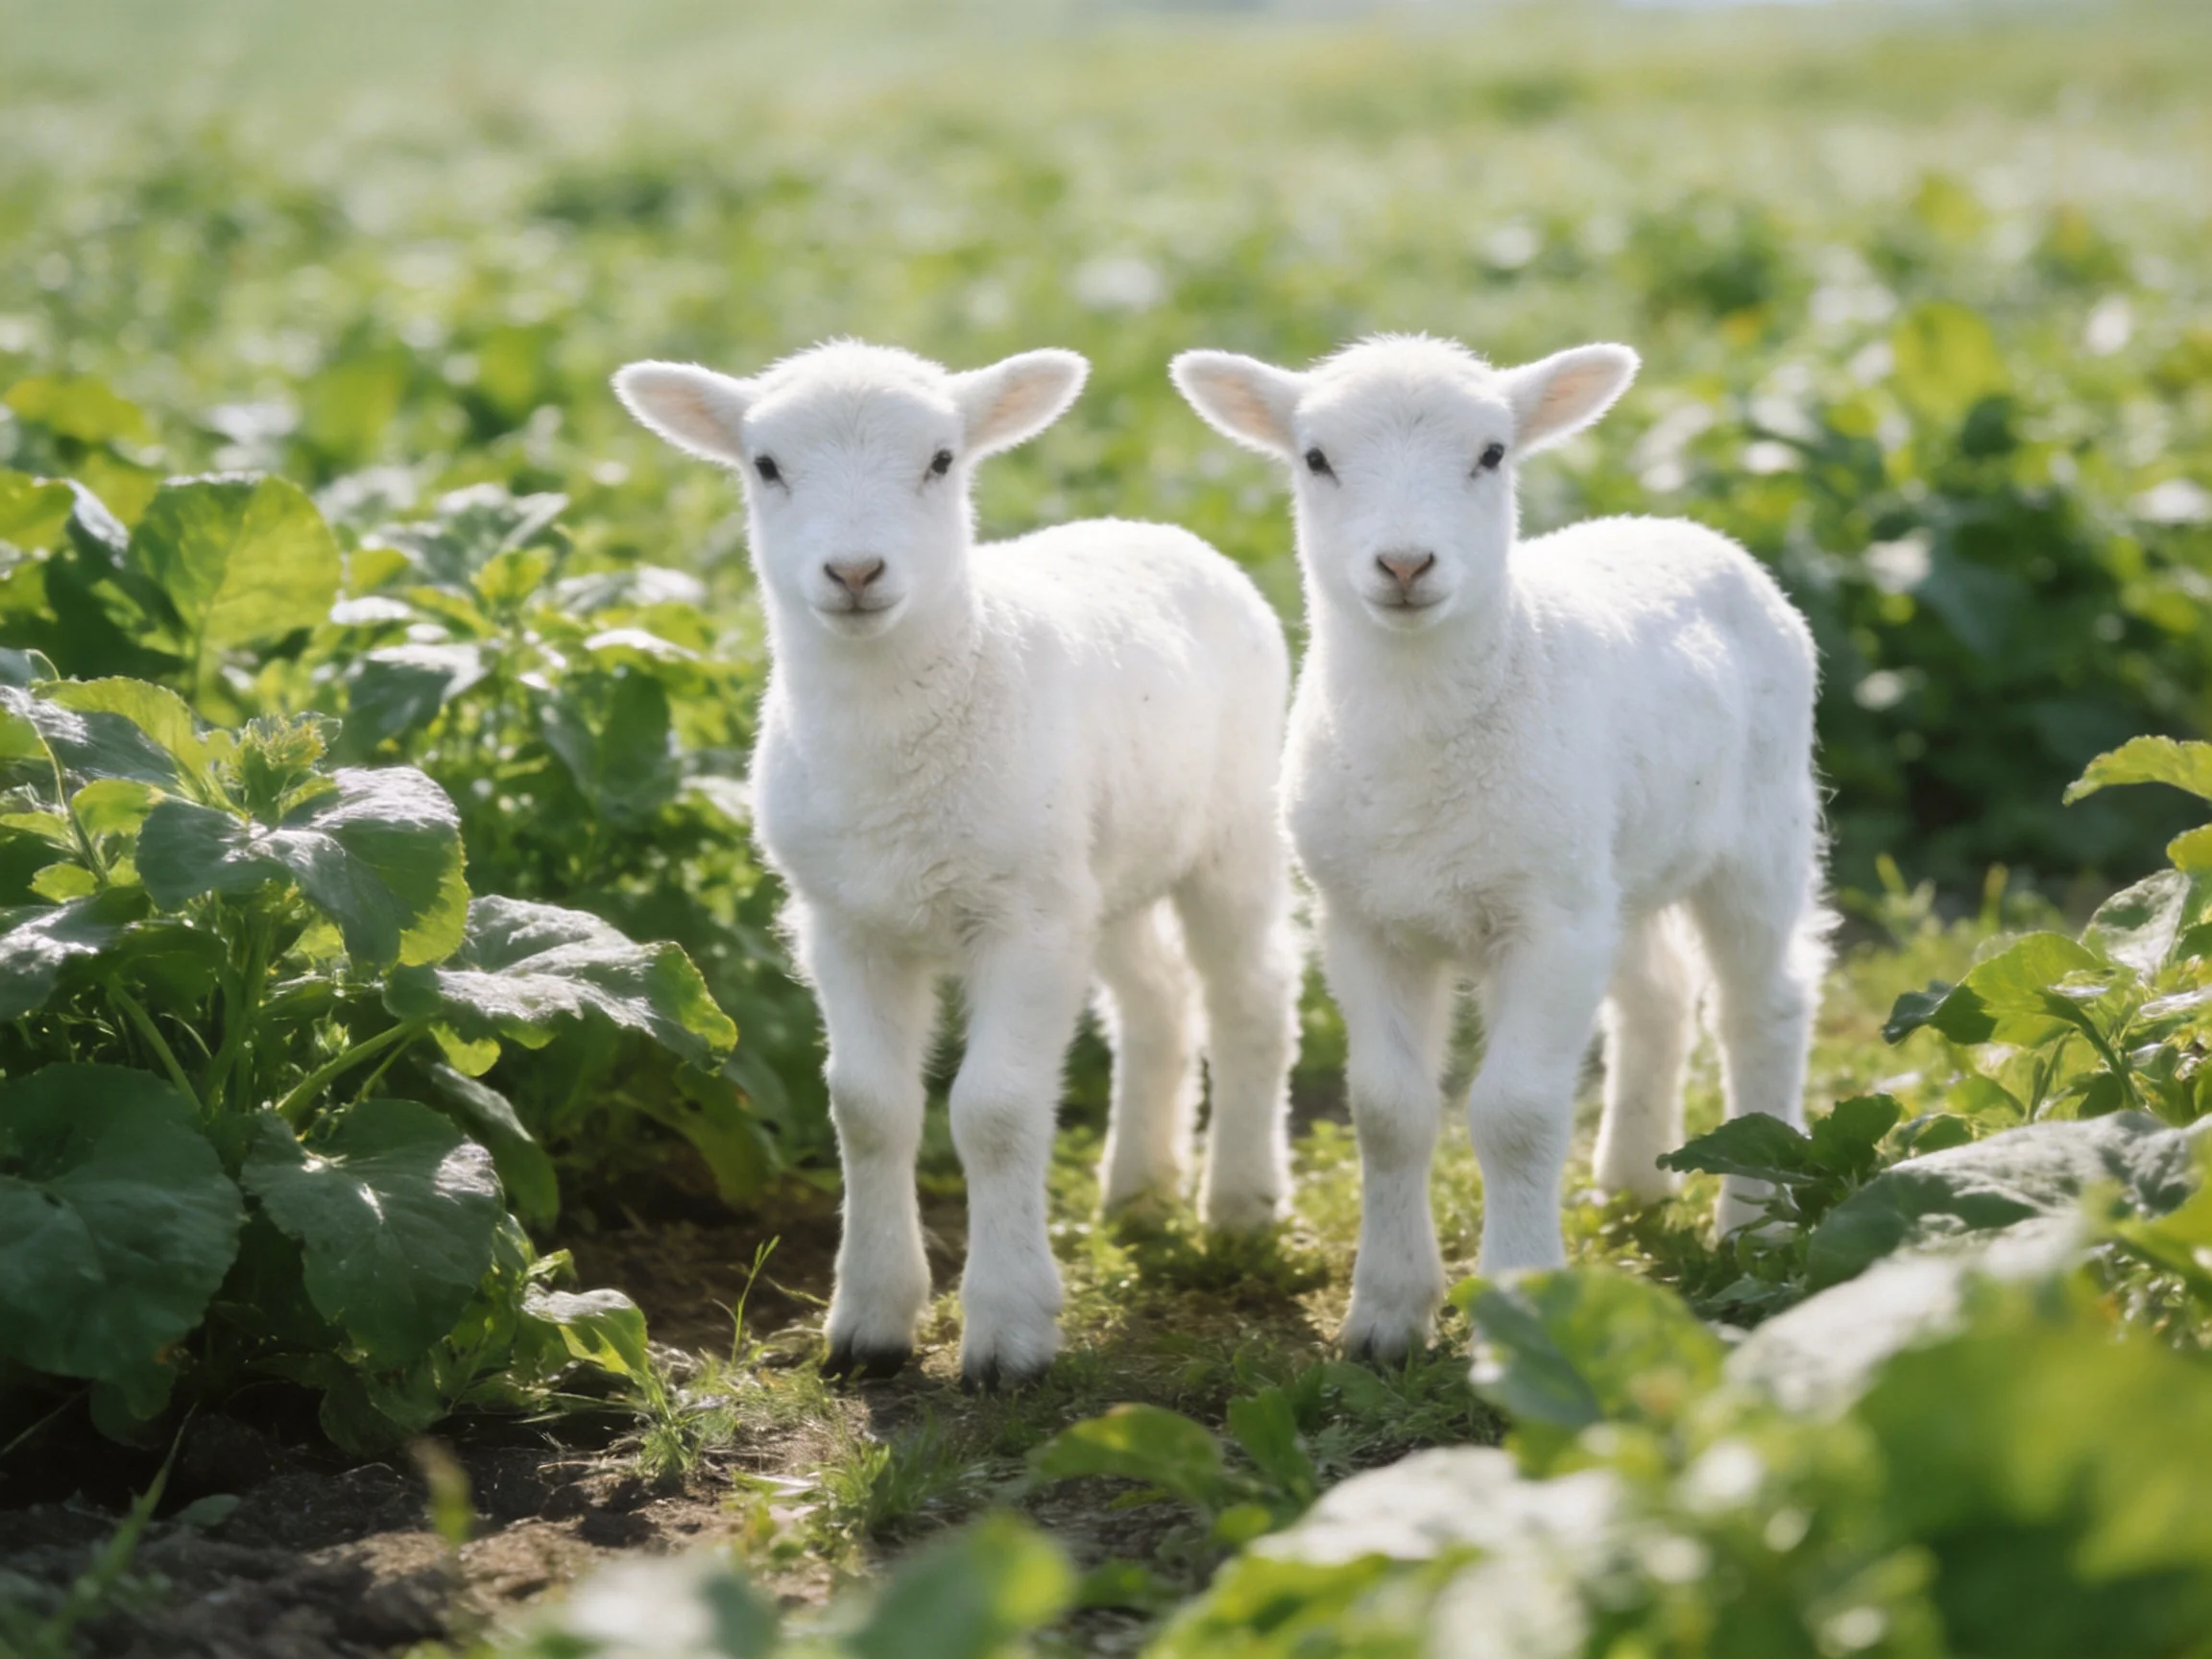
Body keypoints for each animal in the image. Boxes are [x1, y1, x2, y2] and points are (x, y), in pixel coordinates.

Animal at [614, 341, 1300, 1388]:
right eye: (765, 466)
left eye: (941, 460)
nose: (855, 570)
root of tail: (1156, 530)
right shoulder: (845, 922)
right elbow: (866, 1107)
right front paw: (869, 1323)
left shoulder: (1023, 923)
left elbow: (995, 1110)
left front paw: (1010, 1330)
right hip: (1101, 868)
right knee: (1157, 1000)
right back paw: (1139, 1191)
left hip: (1231, 827)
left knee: (1251, 993)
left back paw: (1240, 1205)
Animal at [1172, 333, 1829, 1359]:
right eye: (1315, 459)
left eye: (1491, 453)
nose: (1405, 562)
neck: (1417, 743)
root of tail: (1685, 529)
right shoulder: (1363, 920)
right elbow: (1388, 1111)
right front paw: (1386, 1315)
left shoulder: (1546, 924)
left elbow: (1515, 1113)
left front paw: (1521, 1303)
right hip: (1613, 861)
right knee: (1657, 995)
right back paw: (1634, 1181)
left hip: (1759, 829)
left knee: (1763, 1007)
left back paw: (1753, 1220)